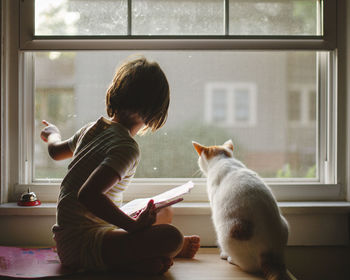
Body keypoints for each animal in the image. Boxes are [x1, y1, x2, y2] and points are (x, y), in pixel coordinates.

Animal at [193, 140, 294, 280]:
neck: (223, 159)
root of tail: (270, 254)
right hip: (284, 224)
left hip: (226, 233)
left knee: (248, 266)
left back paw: (229, 258)